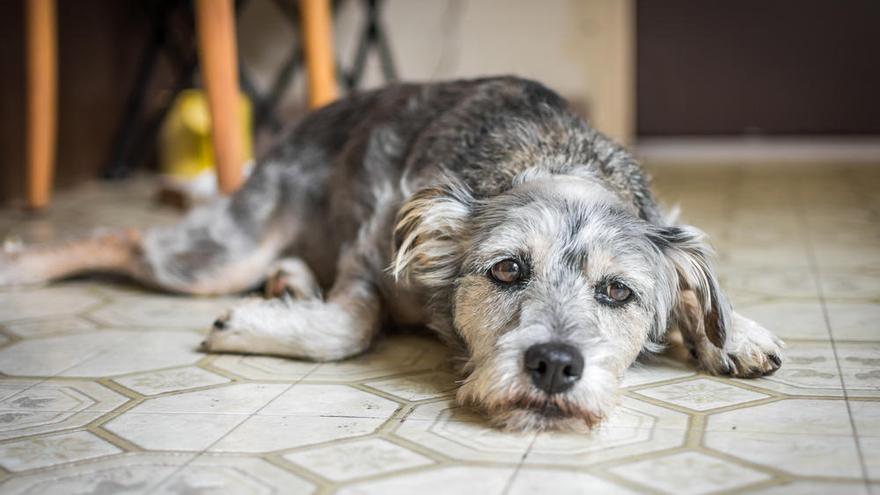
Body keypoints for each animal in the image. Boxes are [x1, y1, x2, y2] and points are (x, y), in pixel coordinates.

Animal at [0, 76, 784, 430]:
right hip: (221, 252)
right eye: (507, 269)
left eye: (617, 291)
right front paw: (253, 327)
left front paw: (734, 332)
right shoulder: (369, 250)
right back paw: (19, 263)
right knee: (127, 237)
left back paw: (288, 283)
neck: (551, 155)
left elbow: (702, 294)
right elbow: (349, 326)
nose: (555, 365)